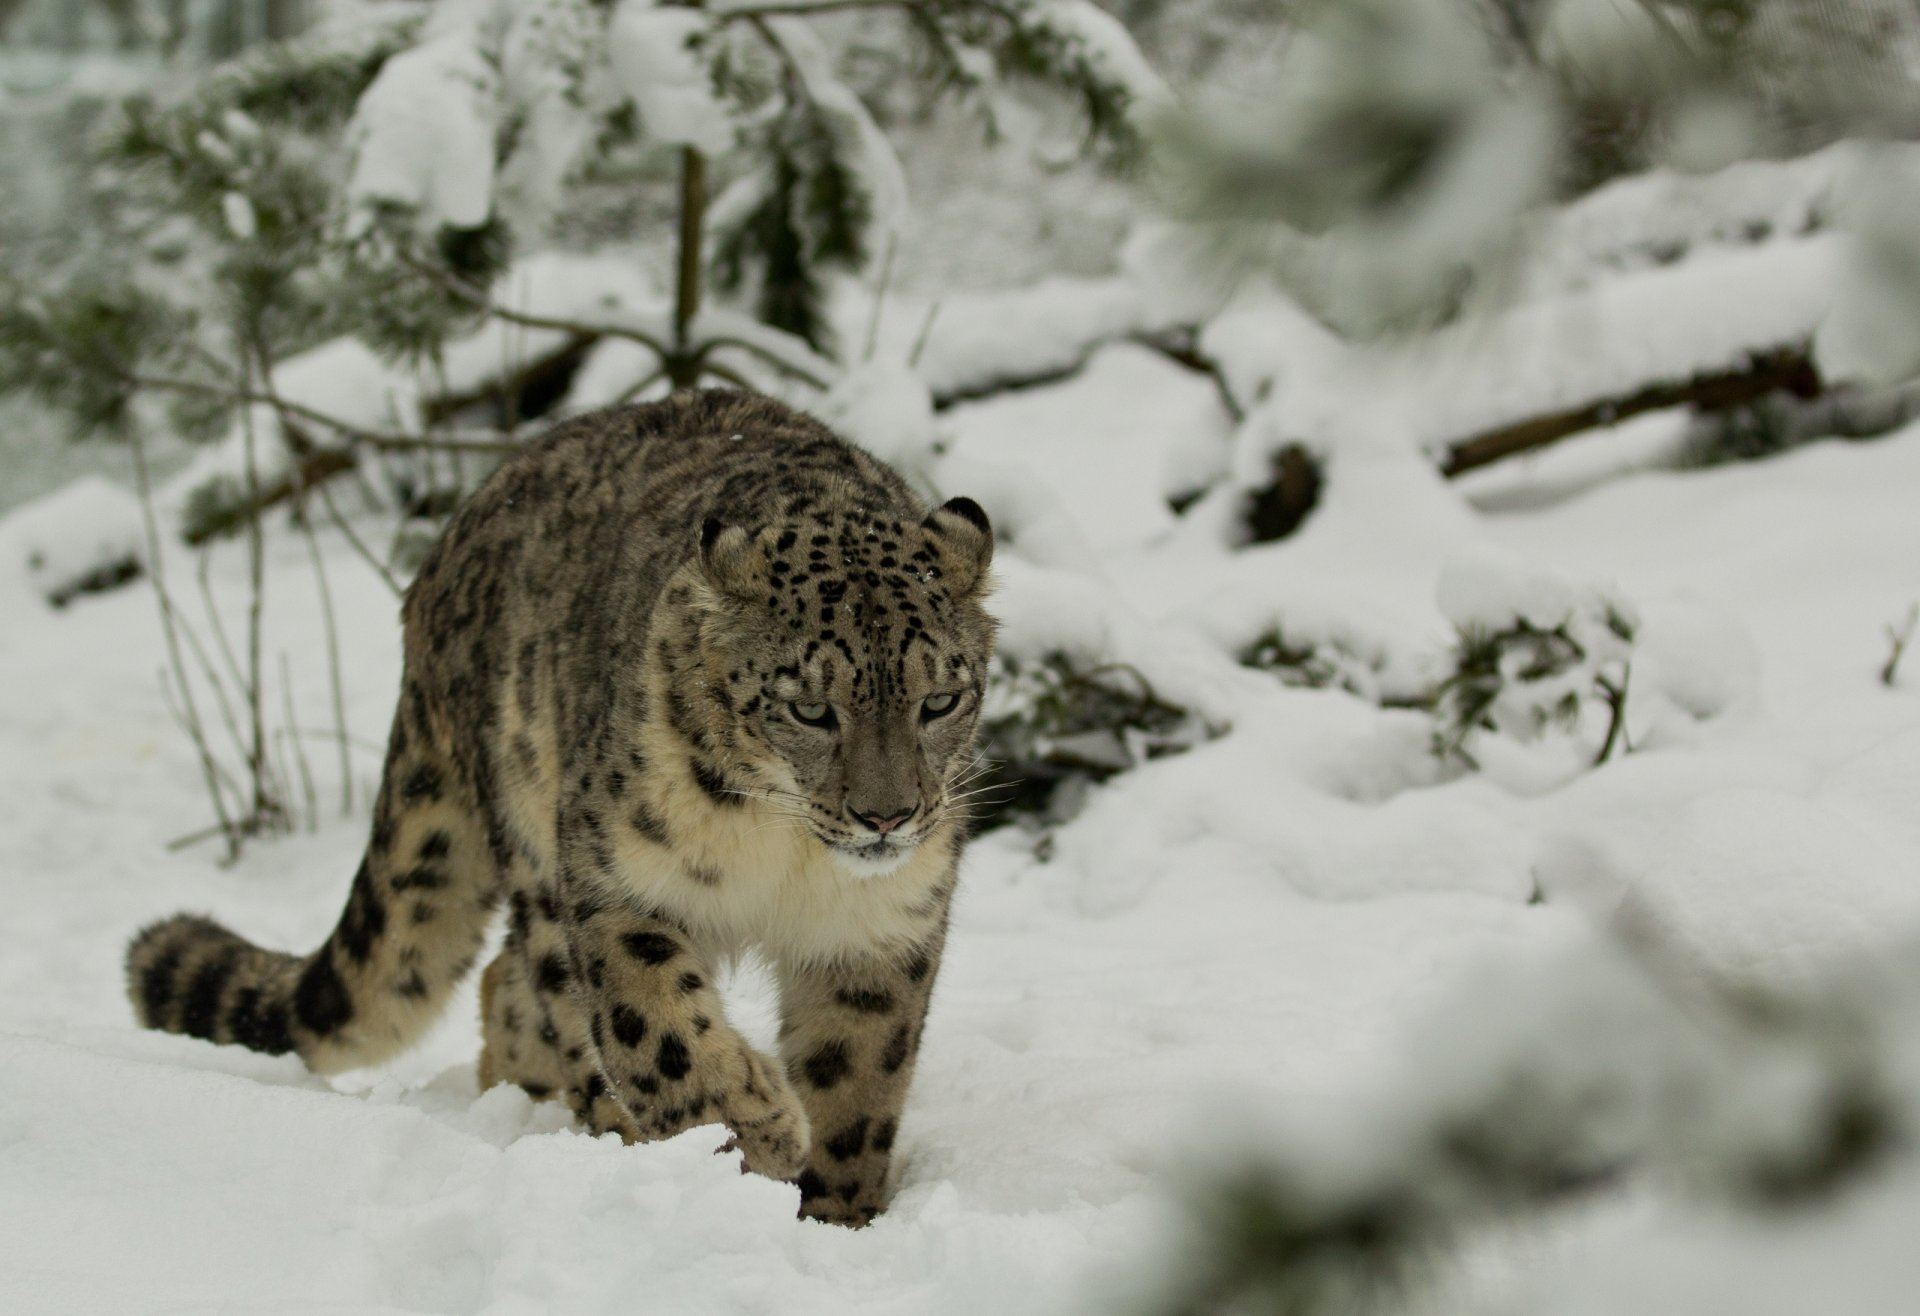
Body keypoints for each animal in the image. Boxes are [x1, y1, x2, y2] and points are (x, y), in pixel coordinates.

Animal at [125, 388, 998, 1221]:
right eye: (811, 709)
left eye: (940, 700)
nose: (886, 816)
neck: (787, 854)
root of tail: (438, 566)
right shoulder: (619, 881)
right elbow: (655, 1026)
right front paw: (751, 1128)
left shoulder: (879, 927)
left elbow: (858, 1073)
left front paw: (834, 1214)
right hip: (536, 844)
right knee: (549, 991)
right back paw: (607, 1129)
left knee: (503, 980)